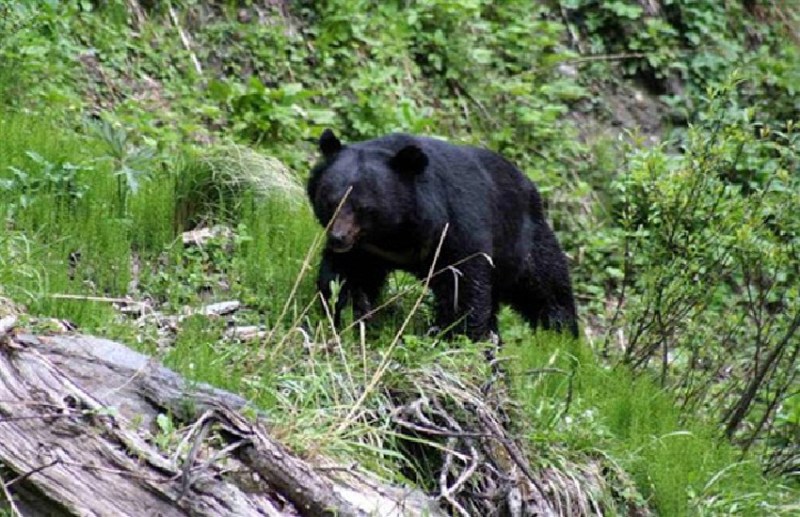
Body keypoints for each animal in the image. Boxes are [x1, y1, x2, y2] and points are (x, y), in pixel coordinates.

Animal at [307, 129, 578, 341]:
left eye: (363, 208)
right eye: (330, 201)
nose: (338, 238)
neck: (396, 233)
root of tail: (531, 186)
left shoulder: (454, 228)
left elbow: (464, 283)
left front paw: (455, 332)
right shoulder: (366, 251)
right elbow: (345, 276)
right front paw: (349, 314)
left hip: (521, 241)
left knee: (546, 285)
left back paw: (561, 337)